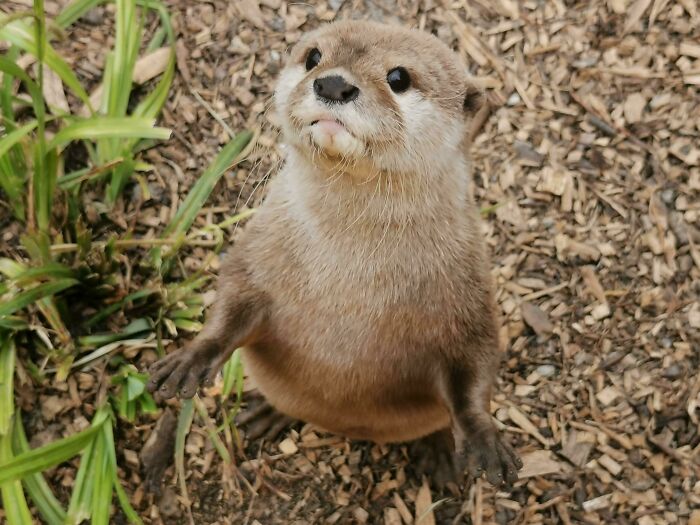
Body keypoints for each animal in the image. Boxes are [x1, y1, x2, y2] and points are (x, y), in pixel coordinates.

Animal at [147, 20, 522, 487]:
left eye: (399, 77)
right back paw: (266, 413)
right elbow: (231, 301)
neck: (351, 280)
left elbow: (476, 360)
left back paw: (440, 456)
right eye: (313, 57)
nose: (333, 83)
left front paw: (483, 439)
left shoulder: (468, 287)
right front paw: (190, 359)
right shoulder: (256, 250)